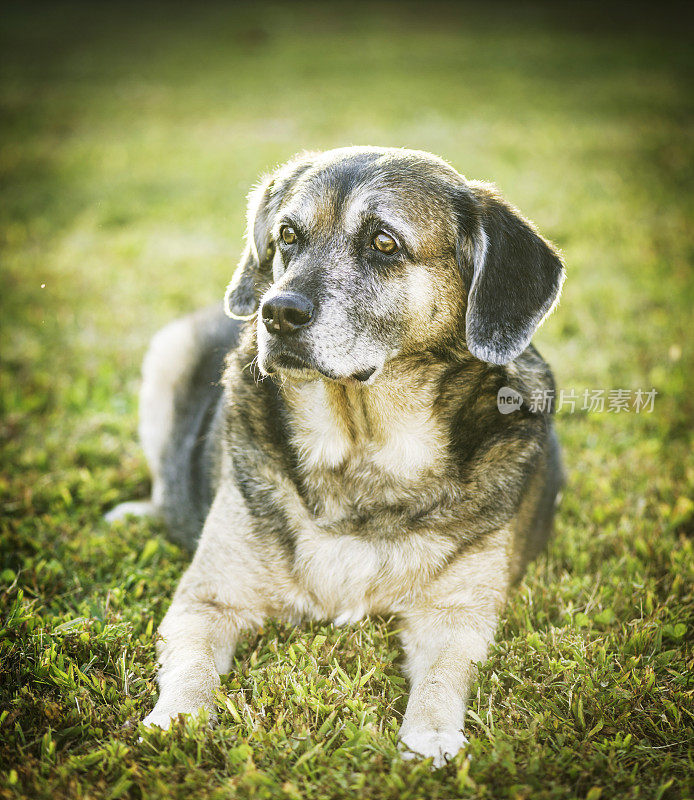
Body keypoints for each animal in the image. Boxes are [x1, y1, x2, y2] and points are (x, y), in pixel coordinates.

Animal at [109, 145, 564, 768]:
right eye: (288, 235)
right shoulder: (207, 600)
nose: (276, 312)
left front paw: (431, 737)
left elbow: (443, 677)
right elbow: (192, 669)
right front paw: (176, 719)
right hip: (166, 357)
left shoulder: (457, 616)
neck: (363, 451)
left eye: (384, 242)